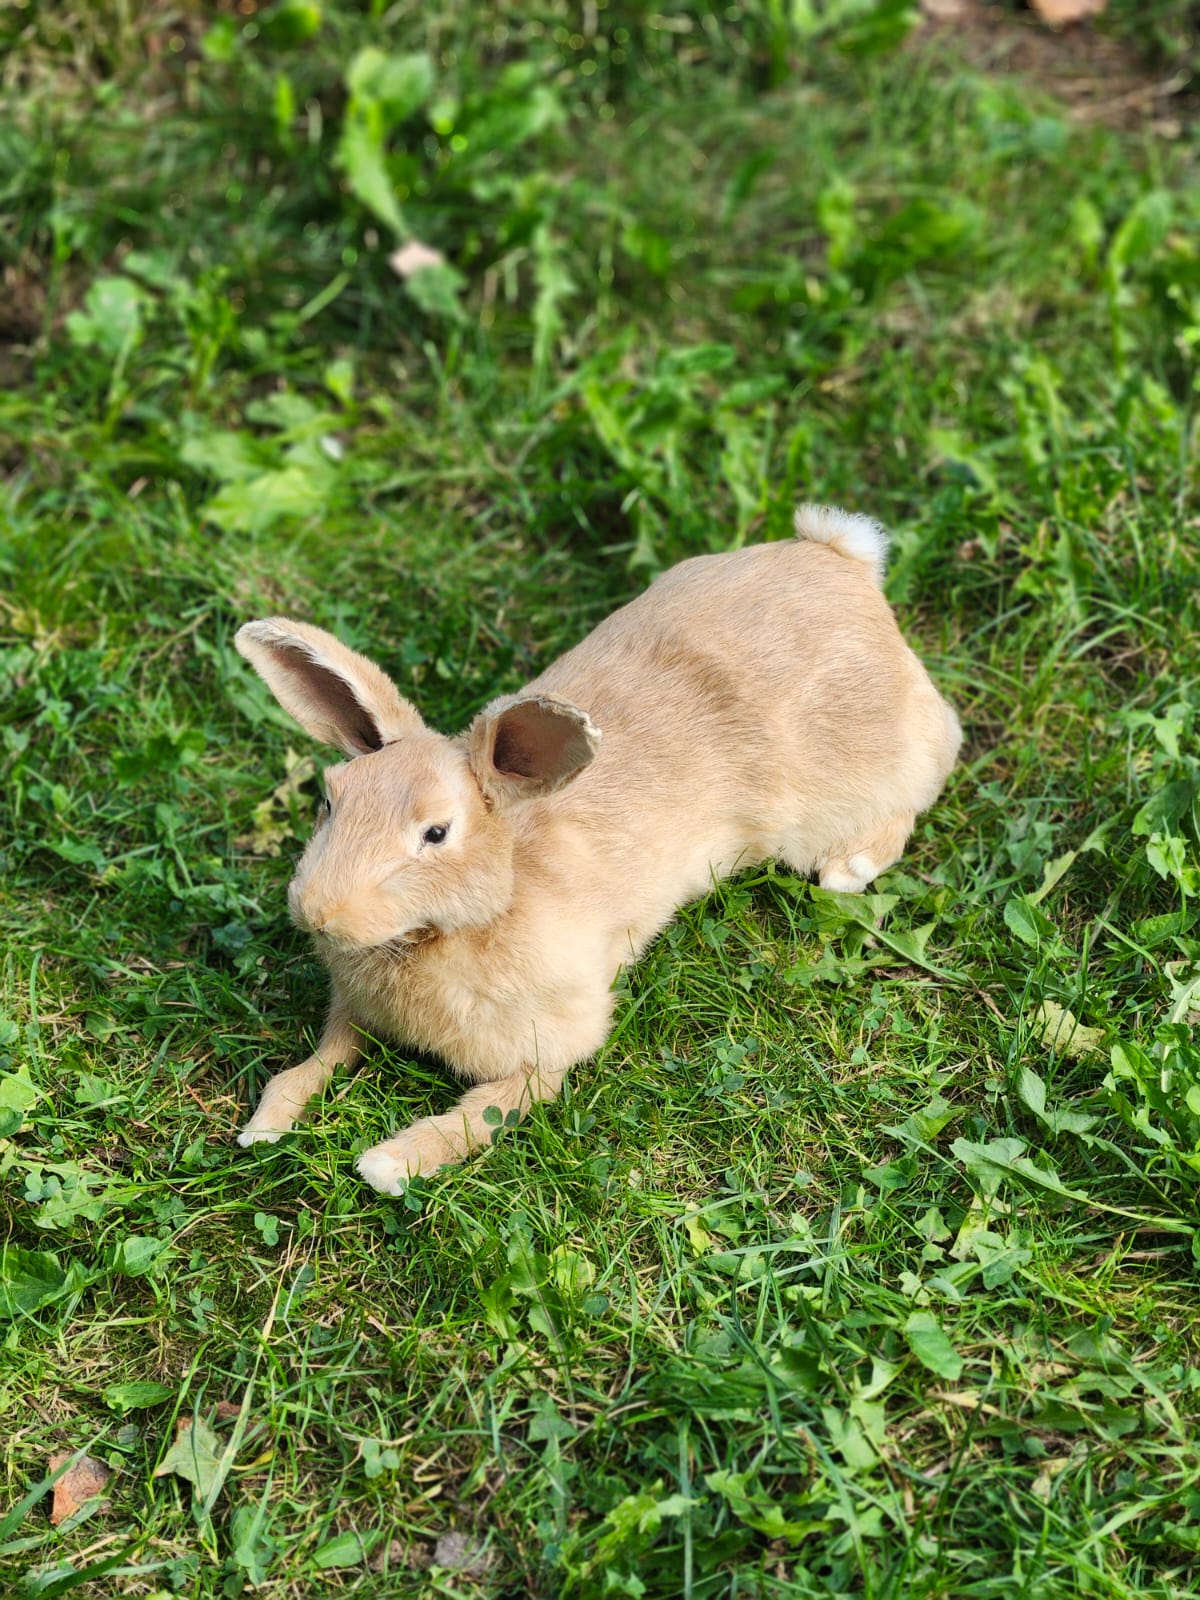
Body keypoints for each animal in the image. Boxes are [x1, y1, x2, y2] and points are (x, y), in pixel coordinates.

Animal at [232, 505, 961, 1194]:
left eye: (436, 833)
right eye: (331, 800)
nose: (317, 912)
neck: (479, 912)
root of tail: (843, 562)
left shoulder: (551, 1047)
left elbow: (487, 1112)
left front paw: (388, 1164)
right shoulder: (352, 1011)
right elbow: (315, 1061)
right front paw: (264, 1126)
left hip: (857, 775)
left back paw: (847, 870)